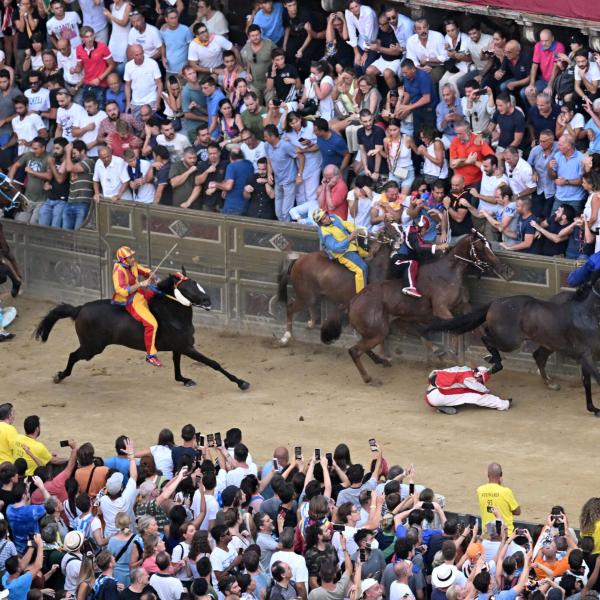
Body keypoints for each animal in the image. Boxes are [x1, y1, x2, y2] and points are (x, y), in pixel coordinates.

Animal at [34, 268, 250, 392]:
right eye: (186, 288)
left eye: (197, 283)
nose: (207, 301)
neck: (172, 313)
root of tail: (79, 309)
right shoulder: (187, 347)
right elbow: (214, 363)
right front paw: (241, 382)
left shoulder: (179, 347)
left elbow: (177, 368)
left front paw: (185, 380)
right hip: (91, 348)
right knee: (72, 355)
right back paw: (60, 376)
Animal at [326, 230, 512, 384]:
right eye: (481, 246)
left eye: (489, 244)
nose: (505, 270)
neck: (449, 274)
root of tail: (354, 301)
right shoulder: (442, 309)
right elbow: (457, 330)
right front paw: (459, 359)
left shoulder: (464, 307)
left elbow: (479, 329)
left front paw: (494, 357)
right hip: (378, 331)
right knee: (355, 350)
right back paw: (369, 378)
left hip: (389, 324)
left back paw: (386, 360)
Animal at [424, 270, 600, 414]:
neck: (588, 313)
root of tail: (496, 302)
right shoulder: (585, 355)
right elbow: (595, 378)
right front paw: (594, 409)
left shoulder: (589, 355)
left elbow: (588, 381)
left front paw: (593, 408)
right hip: (510, 341)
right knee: (487, 338)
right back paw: (494, 362)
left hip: (549, 343)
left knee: (538, 356)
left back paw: (549, 383)